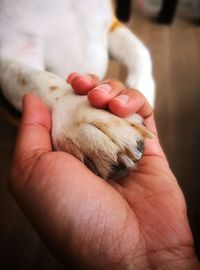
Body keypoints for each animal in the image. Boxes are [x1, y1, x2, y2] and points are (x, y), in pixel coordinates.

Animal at [0, 0, 155, 179]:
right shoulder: (13, 52)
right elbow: (36, 78)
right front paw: (77, 114)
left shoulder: (111, 24)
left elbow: (139, 50)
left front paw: (143, 91)